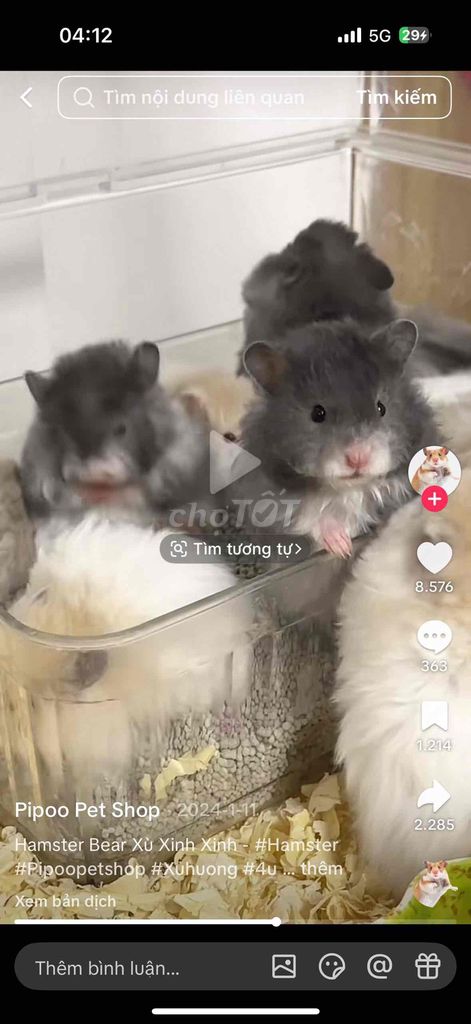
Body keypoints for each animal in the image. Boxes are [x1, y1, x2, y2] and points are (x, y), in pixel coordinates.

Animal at [236, 318, 435, 557]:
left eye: (381, 408)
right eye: (317, 413)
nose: (358, 458)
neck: (347, 489)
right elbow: (310, 518)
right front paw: (342, 546)